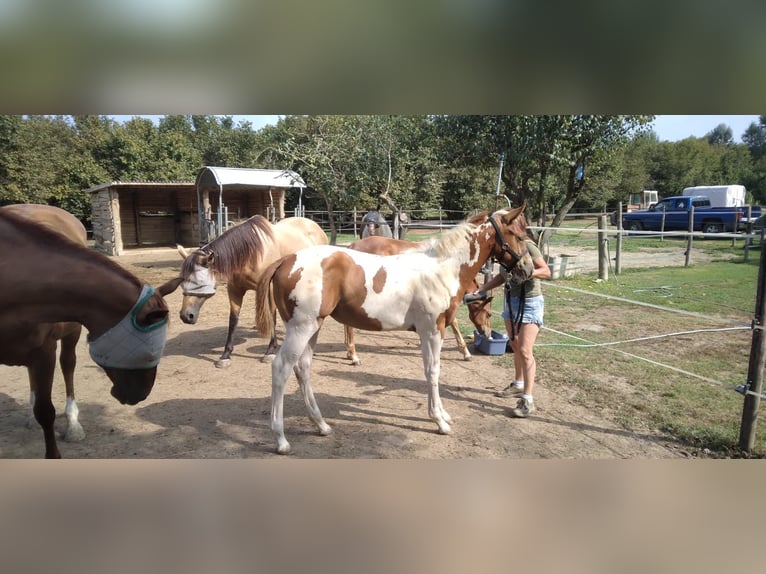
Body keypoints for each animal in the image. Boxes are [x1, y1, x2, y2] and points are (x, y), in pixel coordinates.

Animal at [0, 207, 171, 460]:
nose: (141, 394)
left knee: (68, 365)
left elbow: (45, 410)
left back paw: (73, 425)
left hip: (70, 335)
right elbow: (44, 411)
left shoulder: (44, 353)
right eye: (149, 354)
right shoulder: (42, 355)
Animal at [162, 216, 328, 368]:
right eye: (183, 281)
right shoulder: (235, 290)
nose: (186, 316)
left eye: (199, 281)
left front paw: (270, 351)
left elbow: (271, 316)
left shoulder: (268, 289)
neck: (252, 253)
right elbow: (233, 320)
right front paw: (226, 355)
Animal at [346, 235, 496, 364]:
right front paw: (466, 353)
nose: (488, 334)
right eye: (489, 314)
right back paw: (354, 356)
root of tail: (353, 245)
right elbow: (454, 323)